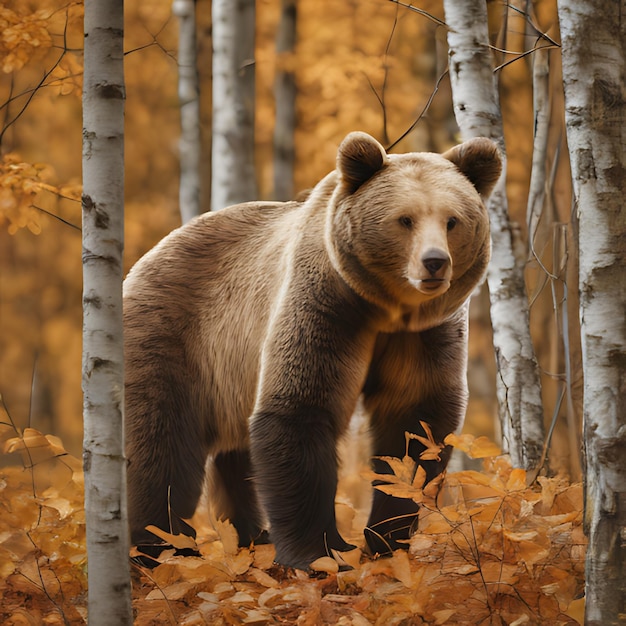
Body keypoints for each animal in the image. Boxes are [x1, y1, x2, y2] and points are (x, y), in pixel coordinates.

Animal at [124, 133, 500, 572]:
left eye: (452, 220)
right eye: (405, 219)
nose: (435, 262)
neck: (385, 309)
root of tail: (149, 254)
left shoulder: (422, 335)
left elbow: (415, 425)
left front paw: (386, 539)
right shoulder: (325, 305)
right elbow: (301, 408)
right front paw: (321, 554)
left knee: (234, 452)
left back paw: (251, 536)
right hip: (174, 335)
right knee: (162, 443)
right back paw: (163, 550)